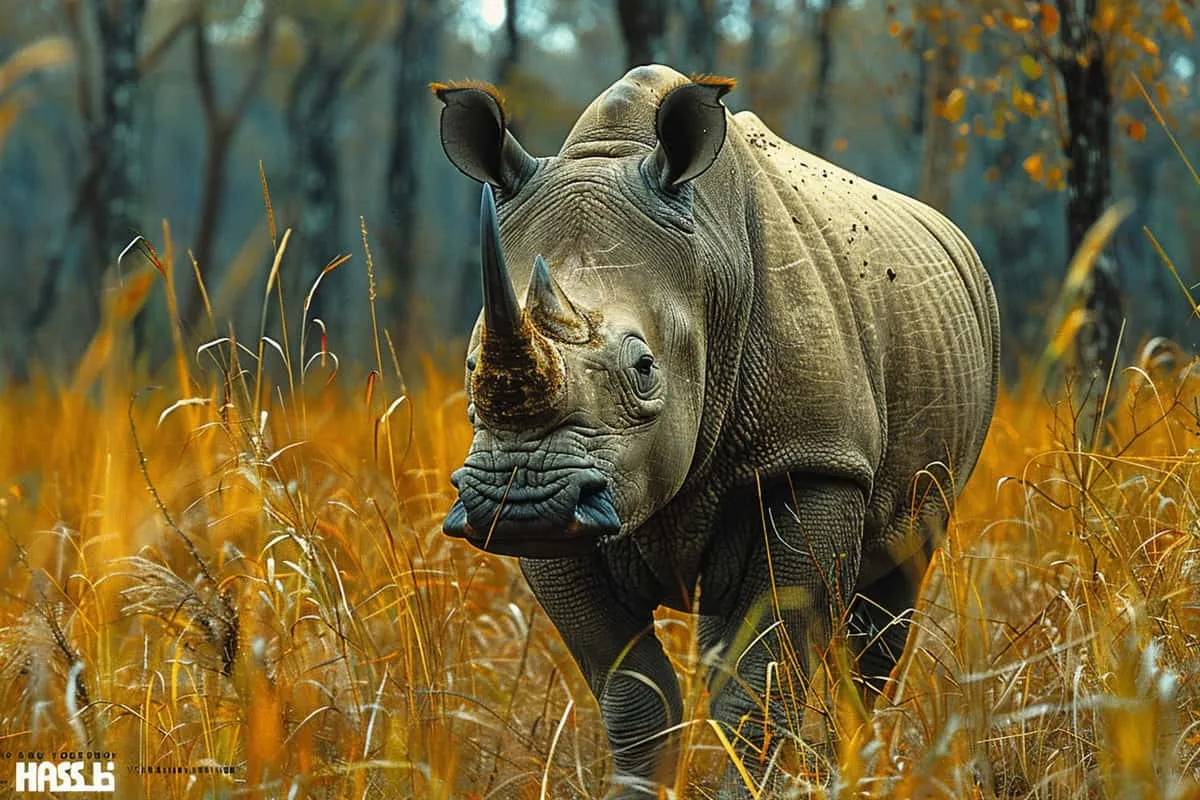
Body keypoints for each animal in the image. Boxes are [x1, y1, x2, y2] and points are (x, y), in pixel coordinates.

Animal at [435, 65, 999, 796]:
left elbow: (764, 675)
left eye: (645, 369)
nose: (523, 497)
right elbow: (633, 690)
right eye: (472, 366)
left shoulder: (814, 461)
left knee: (889, 598)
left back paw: (851, 761)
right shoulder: (559, 532)